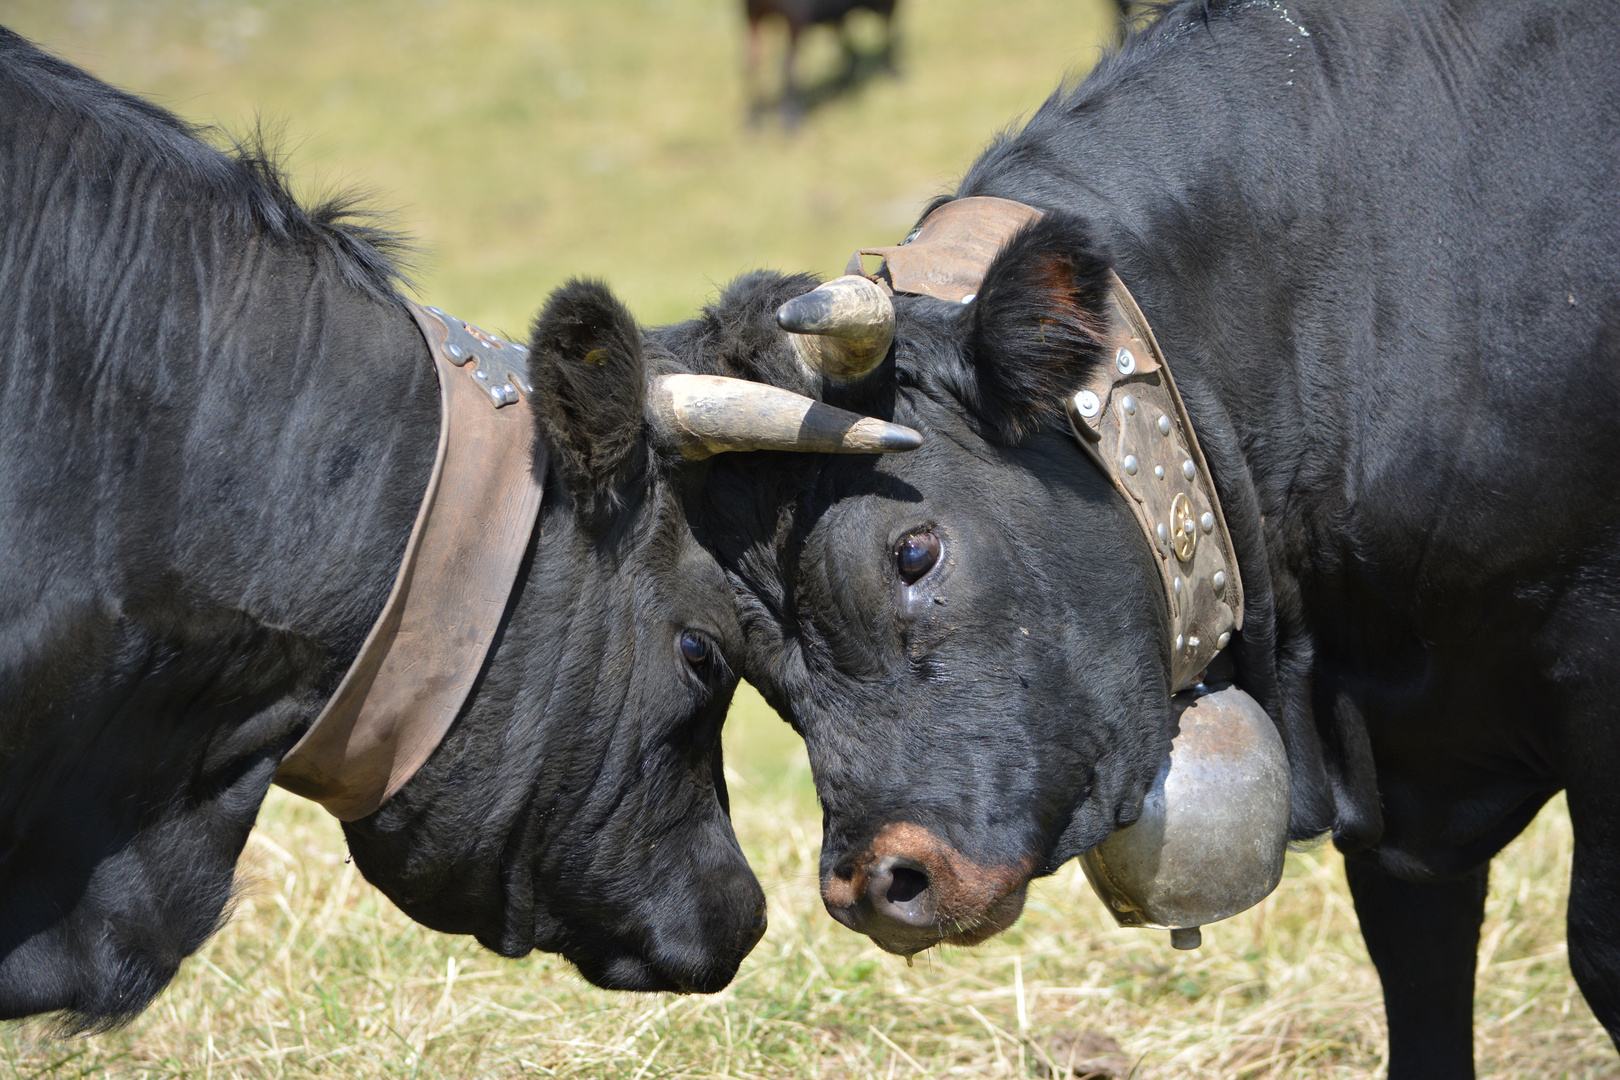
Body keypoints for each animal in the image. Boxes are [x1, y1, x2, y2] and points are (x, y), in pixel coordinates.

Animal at [596, 0, 1620, 1075]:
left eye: (911, 552)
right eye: (751, 655)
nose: (874, 883)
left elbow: (1598, 948)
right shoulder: (1406, 795)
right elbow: (1419, 972)